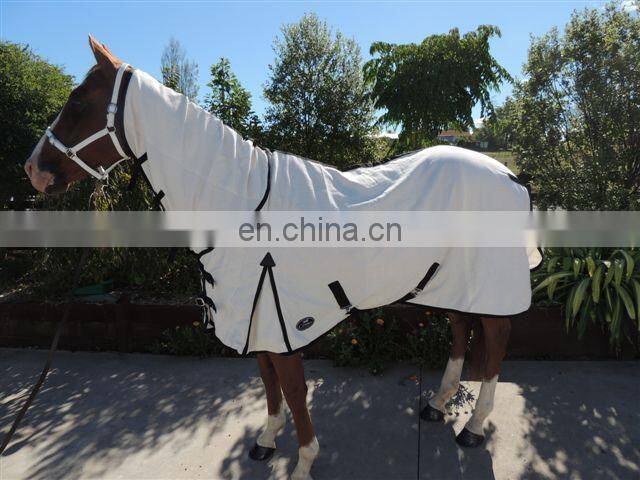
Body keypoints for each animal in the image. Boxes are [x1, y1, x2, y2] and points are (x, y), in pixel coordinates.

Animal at [24, 36, 541, 479]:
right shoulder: (254, 320)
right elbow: (267, 382)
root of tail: (510, 176)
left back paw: (473, 428)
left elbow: (293, 390)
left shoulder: (281, 319)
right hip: (449, 279)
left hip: (488, 282)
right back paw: (437, 403)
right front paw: (267, 441)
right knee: (461, 327)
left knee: (495, 339)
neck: (240, 204)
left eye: (78, 102)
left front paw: (304, 460)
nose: (33, 170)